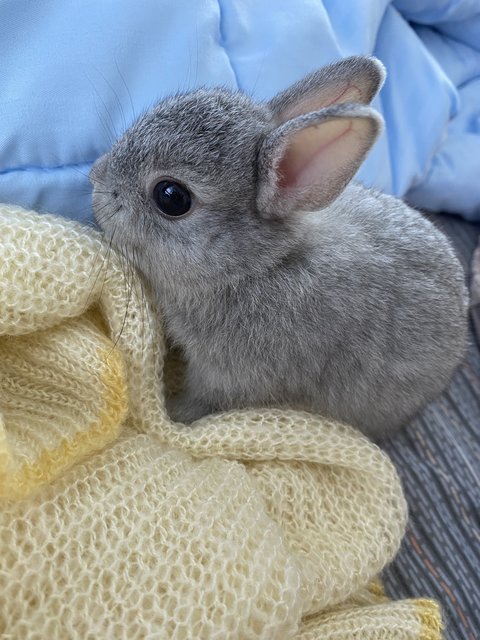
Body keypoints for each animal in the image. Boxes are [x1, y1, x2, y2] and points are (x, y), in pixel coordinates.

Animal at [89, 56, 464, 440]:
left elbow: (205, 401)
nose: (95, 177)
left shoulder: (230, 377)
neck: (257, 265)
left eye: (172, 197)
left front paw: (174, 414)